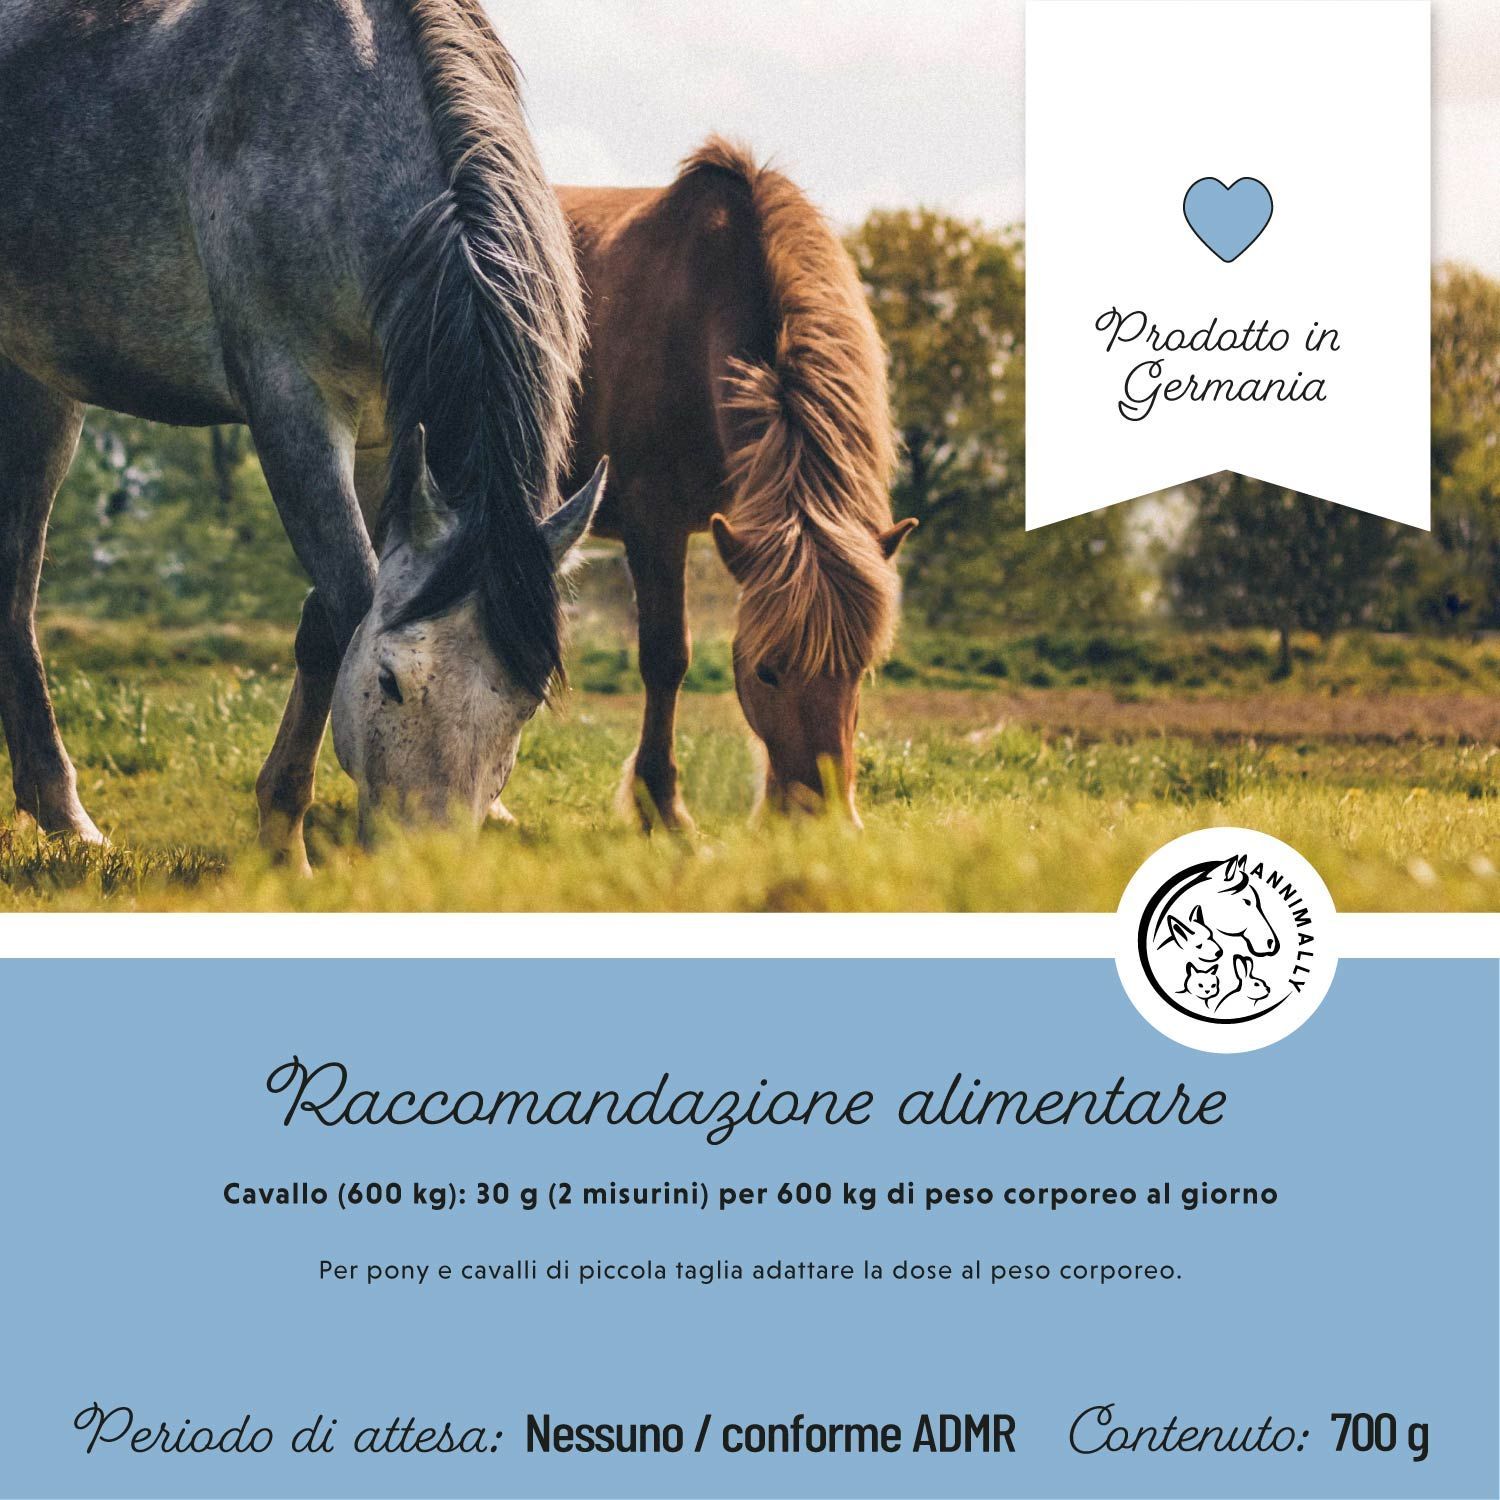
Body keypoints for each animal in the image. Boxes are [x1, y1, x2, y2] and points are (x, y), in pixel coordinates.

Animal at [0, 0, 603, 867]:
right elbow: (347, 599)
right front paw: (287, 840)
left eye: (523, 704)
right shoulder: (292, 405)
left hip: (38, 384)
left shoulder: (389, 441)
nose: (428, 868)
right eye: (389, 681)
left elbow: (327, 613)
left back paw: (54, 810)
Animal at [558, 139, 916, 830]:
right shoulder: (654, 522)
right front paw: (663, 809)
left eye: (859, 671)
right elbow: (666, 657)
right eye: (766, 672)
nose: (821, 820)